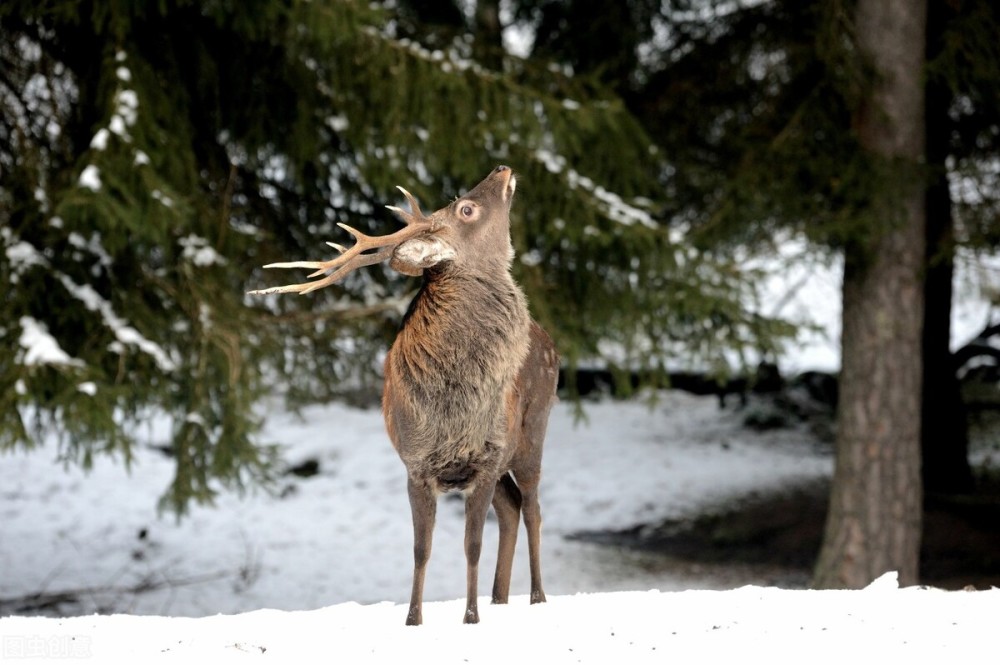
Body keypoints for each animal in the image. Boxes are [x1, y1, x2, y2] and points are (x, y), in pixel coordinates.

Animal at [250, 166, 560, 624]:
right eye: (466, 208)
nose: (502, 169)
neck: (452, 409)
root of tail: (548, 339)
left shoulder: (486, 459)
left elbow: (471, 545)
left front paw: (470, 617)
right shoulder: (416, 467)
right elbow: (420, 549)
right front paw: (414, 619)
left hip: (533, 432)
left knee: (534, 509)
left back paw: (537, 596)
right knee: (512, 507)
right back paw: (500, 598)